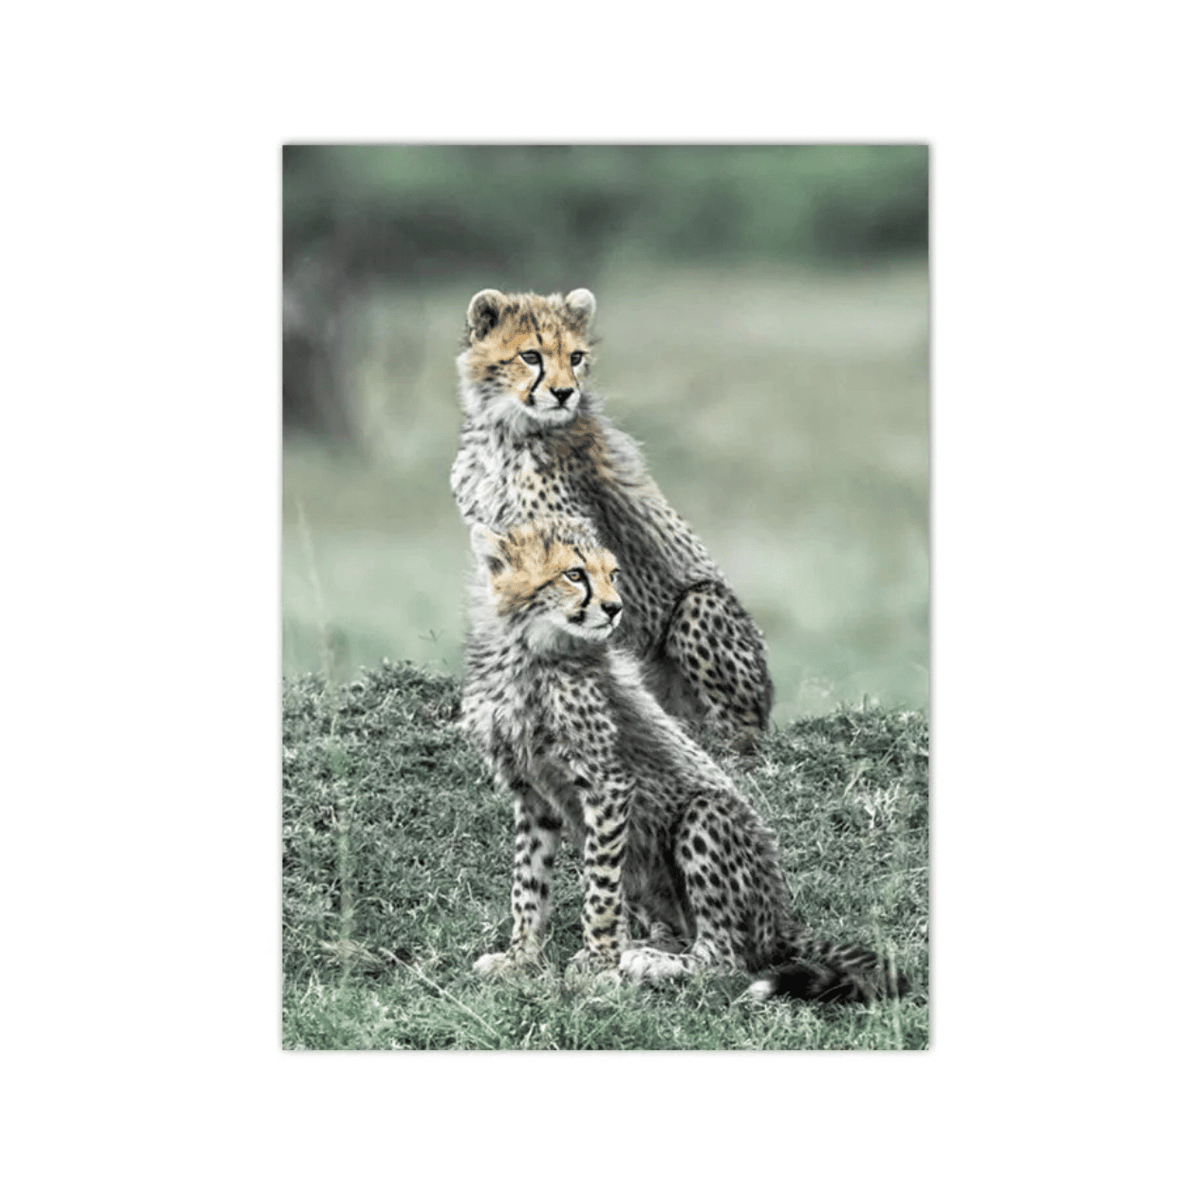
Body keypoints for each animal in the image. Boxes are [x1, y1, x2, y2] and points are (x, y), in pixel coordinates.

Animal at [451, 287, 773, 752]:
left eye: (576, 356)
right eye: (530, 356)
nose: (564, 393)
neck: (506, 431)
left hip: (702, 601)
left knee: (738, 727)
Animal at [459, 519, 908, 1003]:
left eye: (613, 574)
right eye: (574, 574)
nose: (615, 608)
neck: (528, 651)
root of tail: (780, 917)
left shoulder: (608, 784)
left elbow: (599, 888)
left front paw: (599, 962)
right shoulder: (532, 794)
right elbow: (529, 882)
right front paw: (520, 957)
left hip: (705, 815)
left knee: (726, 957)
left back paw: (650, 962)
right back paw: (643, 947)